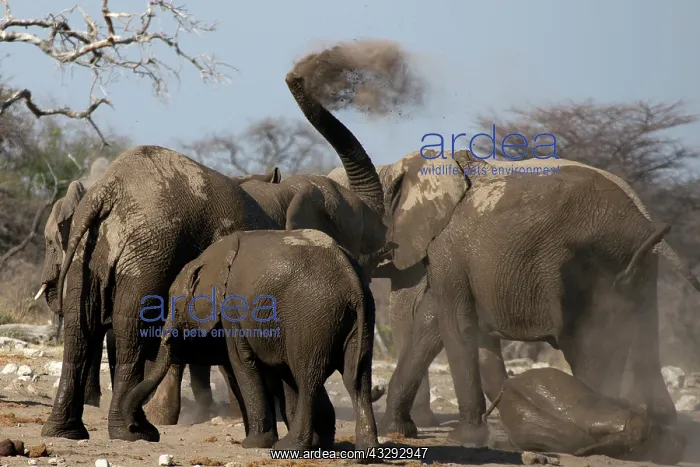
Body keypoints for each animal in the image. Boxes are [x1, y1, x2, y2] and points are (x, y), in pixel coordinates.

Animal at [123, 229, 380, 453]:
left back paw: (290, 446)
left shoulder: (233, 309)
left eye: (174, 306)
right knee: (356, 378)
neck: (211, 258)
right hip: (359, 319)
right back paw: (364, 452)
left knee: (308, 378)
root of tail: (352, 279)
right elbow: (276, 373)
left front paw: (254, 444)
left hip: (312, 319)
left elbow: (243, 363)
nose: (144, 430)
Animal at [328, 149, 700, 446]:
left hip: (589, 266)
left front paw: (465, 437)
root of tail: (639, 216)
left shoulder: (447, 245)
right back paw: (659, 423)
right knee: (643, 331)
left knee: (590, 347)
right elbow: (433, 321)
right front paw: (399, 429)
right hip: (639, 268)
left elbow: (454, 323)